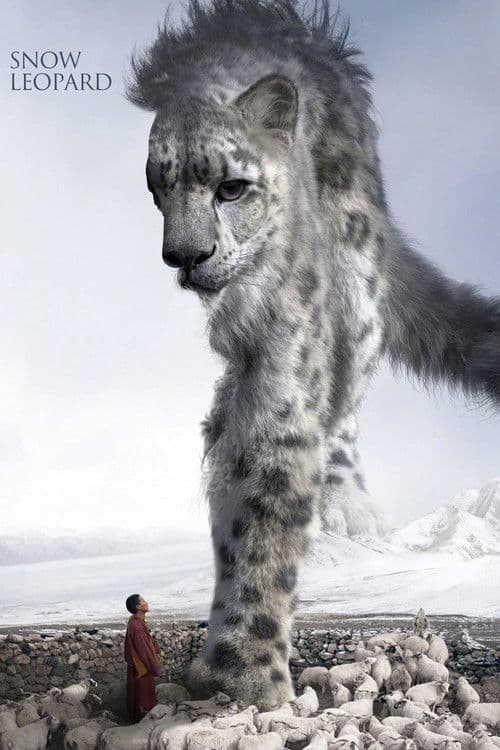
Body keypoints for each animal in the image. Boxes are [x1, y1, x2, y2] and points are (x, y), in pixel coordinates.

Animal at [126, 0, 500, 709]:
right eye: (159, 186)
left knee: (350, 388)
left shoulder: (286, 351)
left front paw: (242, 671)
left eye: (233, 187)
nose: (184, 256)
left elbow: (270, 483)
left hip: (357, 282)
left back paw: (347, 498)